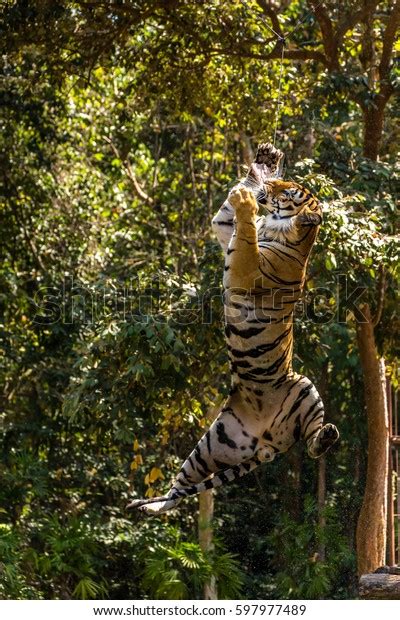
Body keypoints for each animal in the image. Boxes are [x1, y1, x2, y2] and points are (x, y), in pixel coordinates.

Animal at [128, 143, 338, 516]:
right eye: (285, 183)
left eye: (289, 192)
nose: (272, 186)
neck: (281, 230)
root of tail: (268, 442)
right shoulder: (225, 231)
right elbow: (227, 219)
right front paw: (264, 163)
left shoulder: (245, 267)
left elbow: (246, 238)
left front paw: (246, 200)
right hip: (215, 443)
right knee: (177, 490)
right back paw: (150, 508)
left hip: (304, 390)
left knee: (314, 442)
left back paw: (327, 435)